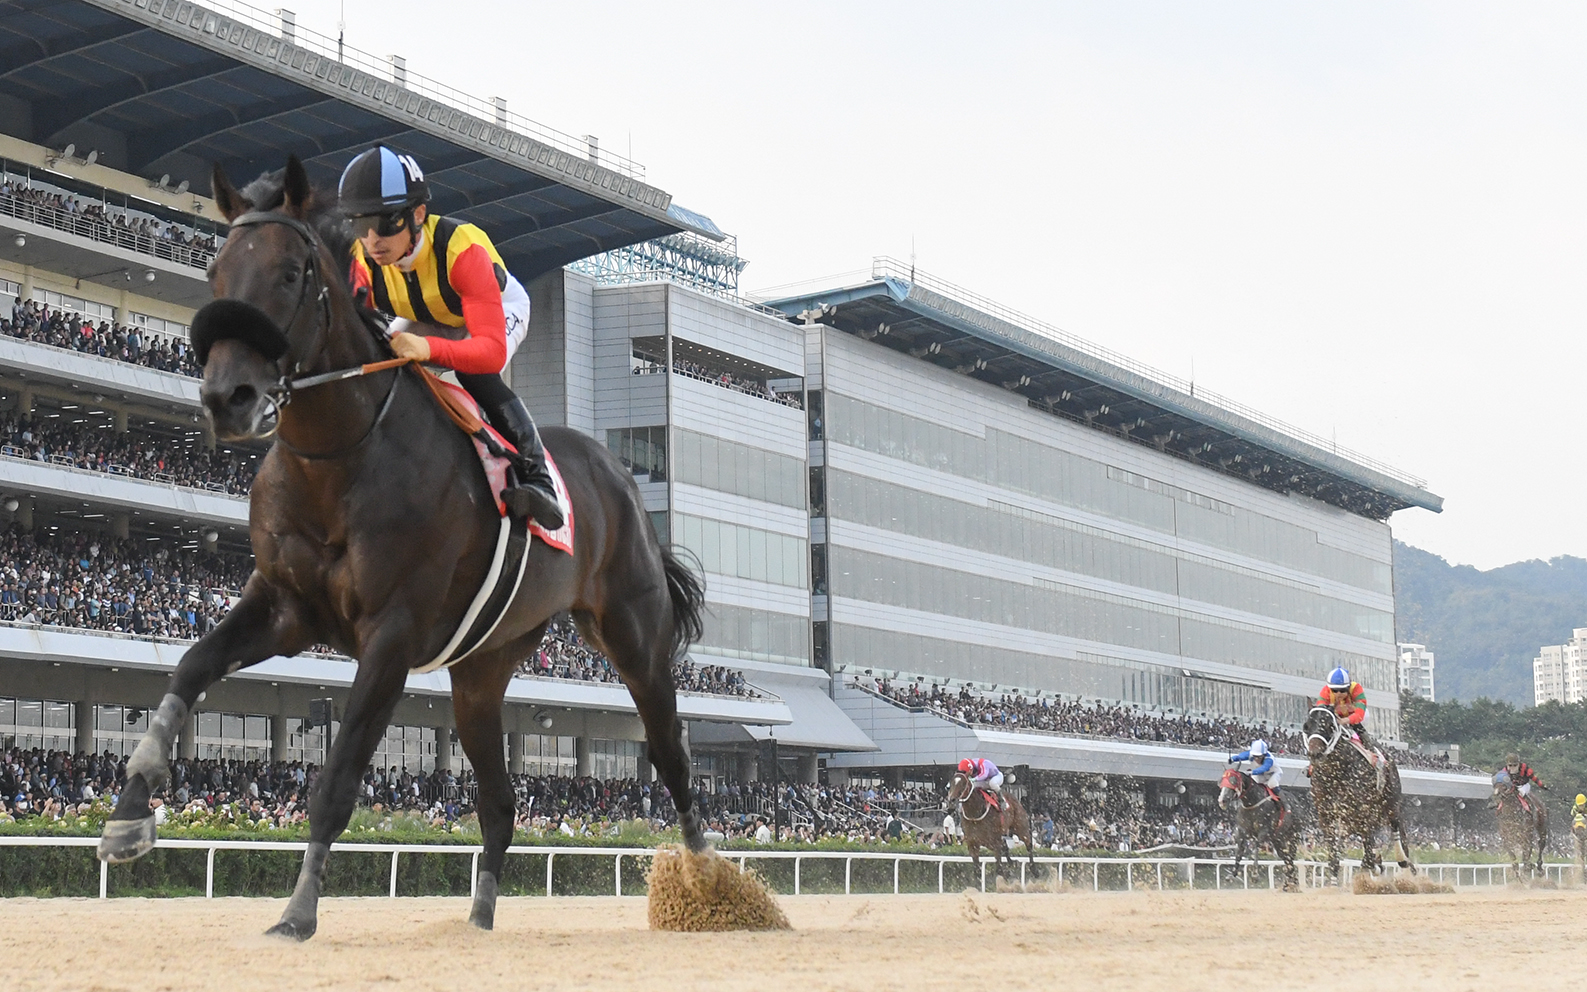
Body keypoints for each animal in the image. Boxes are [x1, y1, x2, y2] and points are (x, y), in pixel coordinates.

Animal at [90, 154, 704, 933]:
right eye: (214, 271)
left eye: (289, 274)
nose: (227, 398)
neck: (339, 457)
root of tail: (620, 476)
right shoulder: (285, 607)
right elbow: (191, 666)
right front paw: (128, 813)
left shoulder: (391, 633)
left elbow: (338, 775)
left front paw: (297, 914)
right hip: (482, 671)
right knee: (500, 801)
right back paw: (478, 919)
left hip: (634, 638)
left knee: (672, 759)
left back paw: (714, 889)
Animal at [1301, 704, 1415, 882]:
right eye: (1306, 726)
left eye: (1331, 726)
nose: (1315, 752)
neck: (1336, 773)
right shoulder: (1327, 817)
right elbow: (1335, 855)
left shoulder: (1364, 815)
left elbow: (1369, 855)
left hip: (1391, 803)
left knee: (1396, 829)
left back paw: (1401, 861)